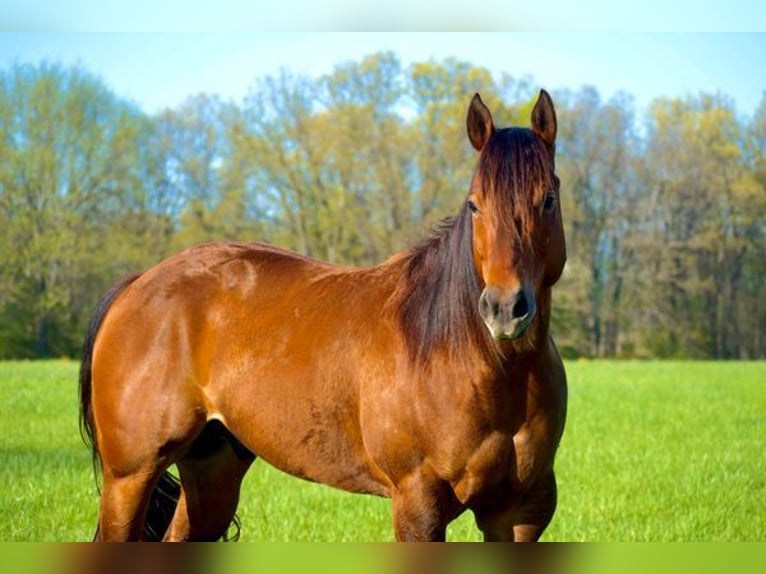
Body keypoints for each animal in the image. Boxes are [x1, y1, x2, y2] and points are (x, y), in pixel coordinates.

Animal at [78, 91, 568, 544]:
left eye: (547, 200)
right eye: (474, 205)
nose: (504, 309)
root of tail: (139, 284)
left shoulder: (519, 513)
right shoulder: (419, 506)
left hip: (212, 470)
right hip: (129, 477)